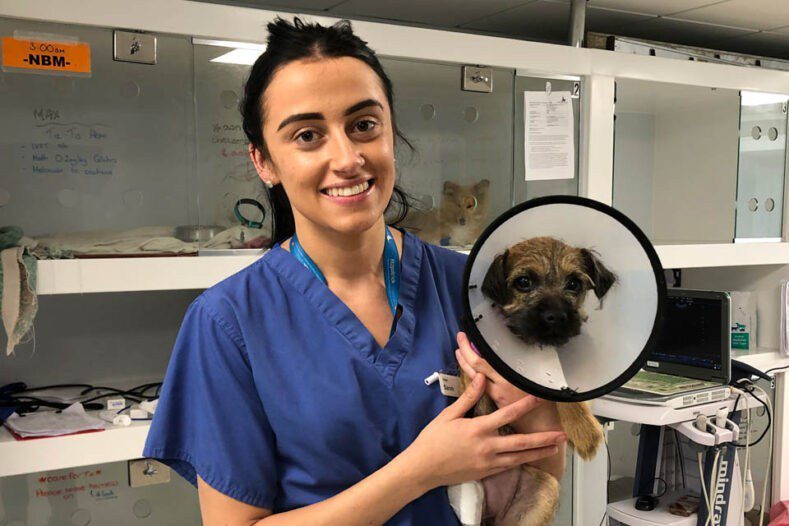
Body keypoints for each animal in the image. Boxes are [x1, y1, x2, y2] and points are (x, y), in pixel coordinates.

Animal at [458, 237, 620, 524]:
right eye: (523, 282)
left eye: (574, 283)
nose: (555, 316)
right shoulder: (470, 353)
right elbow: (477, 381)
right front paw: (488, 417)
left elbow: (565, 392)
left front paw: (583, 430)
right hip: (469, 497)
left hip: (543, 491)